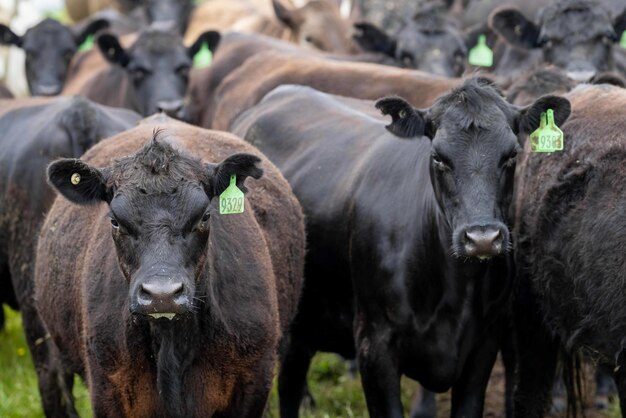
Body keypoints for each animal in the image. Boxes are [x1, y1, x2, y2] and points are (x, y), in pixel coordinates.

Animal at [230, 80, 572, 416]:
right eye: (438, 157)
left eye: (511, 156)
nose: (482, 238)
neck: (455, 293)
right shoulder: (374, 344)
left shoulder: (485, 342)